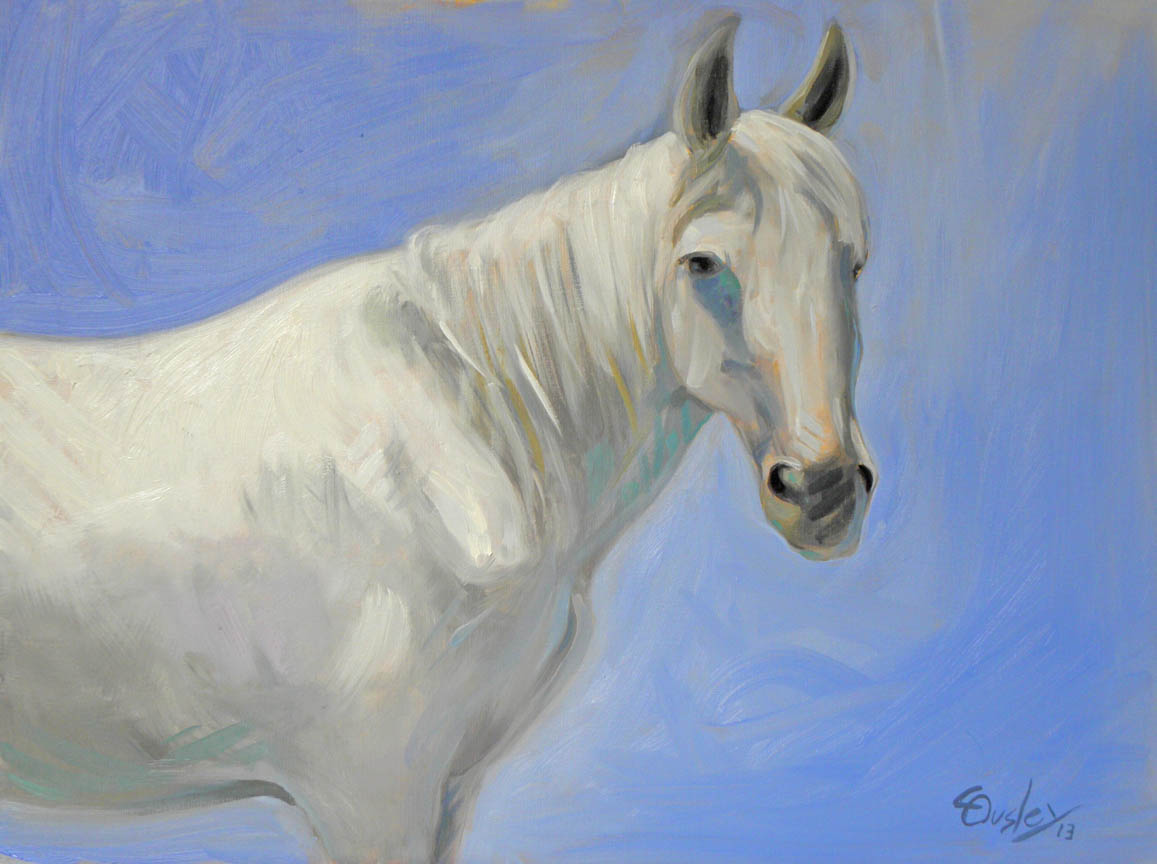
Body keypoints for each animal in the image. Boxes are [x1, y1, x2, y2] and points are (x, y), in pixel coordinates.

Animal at [0, 16, 874, 863]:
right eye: (701, 262)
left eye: (853, 260)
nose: (823, 489)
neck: (449, 442)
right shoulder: (371, 793)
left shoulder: (442, 789)